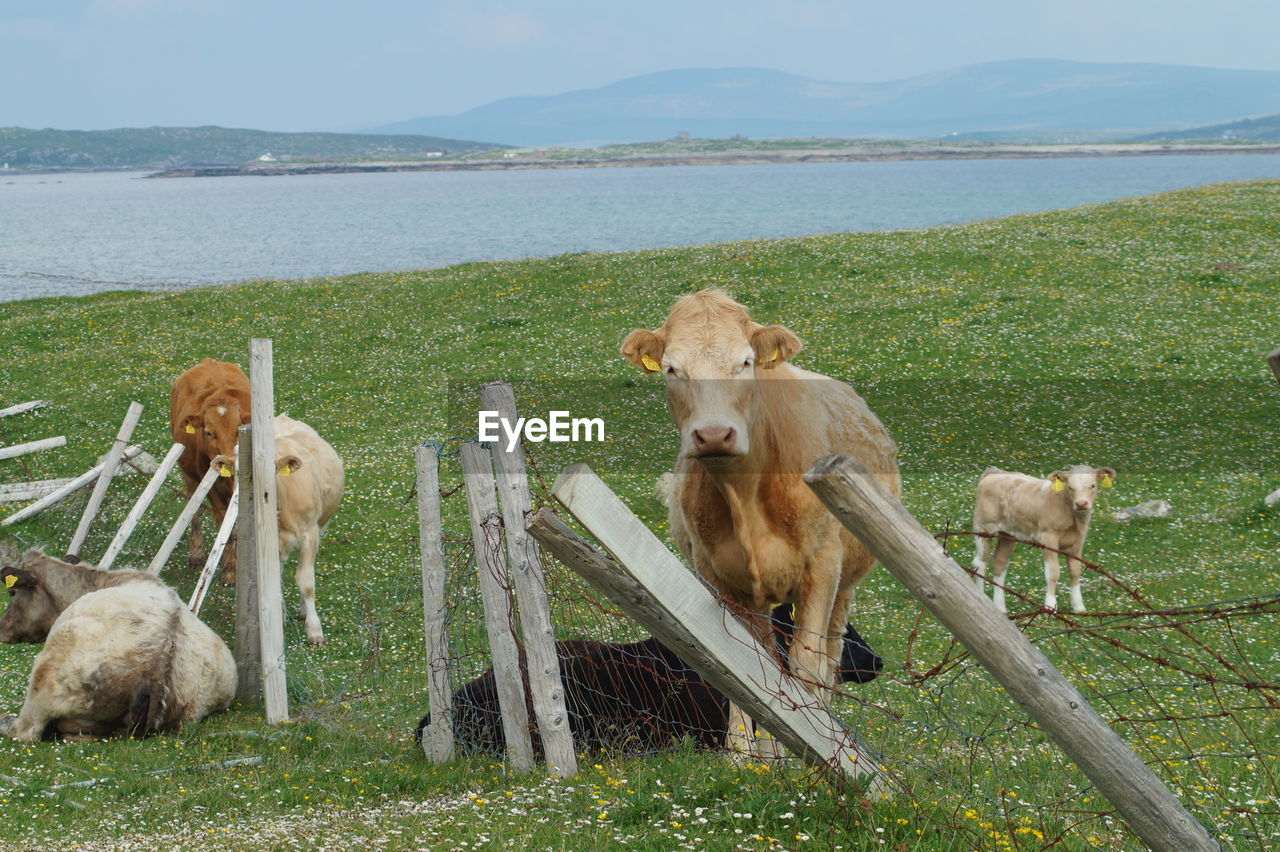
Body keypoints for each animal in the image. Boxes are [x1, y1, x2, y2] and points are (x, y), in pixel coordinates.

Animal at [170, 355, 249, 580]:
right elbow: (225, 525)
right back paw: (196, 553)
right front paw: (230, 570)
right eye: (208, 432)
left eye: (238, 429)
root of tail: (209, 361)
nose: (227, 460)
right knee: (194, 507)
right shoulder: (213, 490)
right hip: (187, 472)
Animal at [619, 289, 901, 752]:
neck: (745, 496)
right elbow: (745, 666)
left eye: (746, 361)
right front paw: (748, 755)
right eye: (673, 369)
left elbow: (806, 666)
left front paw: (815, 743)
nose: (713, 434)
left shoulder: (822, 570)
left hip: (846, 584)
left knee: (828, 659)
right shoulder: (717, 578)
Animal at [972, 465, 1116, 611]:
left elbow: (1075, 571)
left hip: (1007, 534)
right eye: (1070, 487)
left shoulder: (1078, 541)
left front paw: (1079, 607)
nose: (1081, 504)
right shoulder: (1048, 538)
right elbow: (1053, 573)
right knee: (980, 563)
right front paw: (1050, 606)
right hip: (983, 528)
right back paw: (982, 598)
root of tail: (994, 472)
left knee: (1000, 563)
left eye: (1093, 485)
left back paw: (1000, 607)